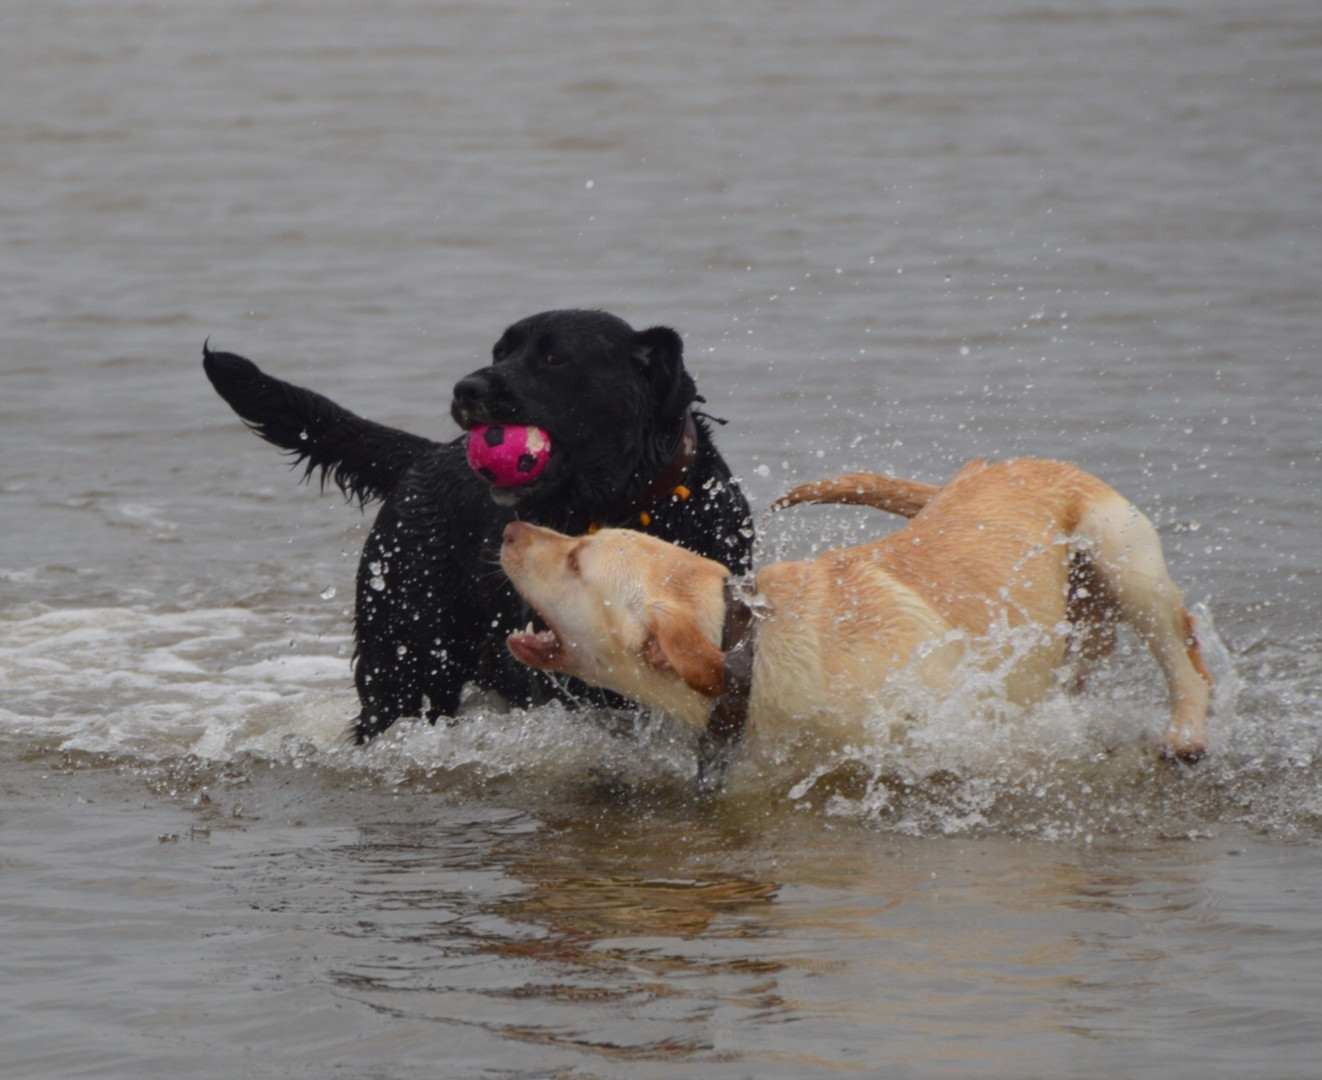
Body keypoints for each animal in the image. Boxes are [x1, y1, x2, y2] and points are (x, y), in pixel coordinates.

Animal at [199, 308, 750, 734]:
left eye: (553, 357)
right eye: (499, 351)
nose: (466, 387)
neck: (624, 506)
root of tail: (422, 456)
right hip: (404, 663)